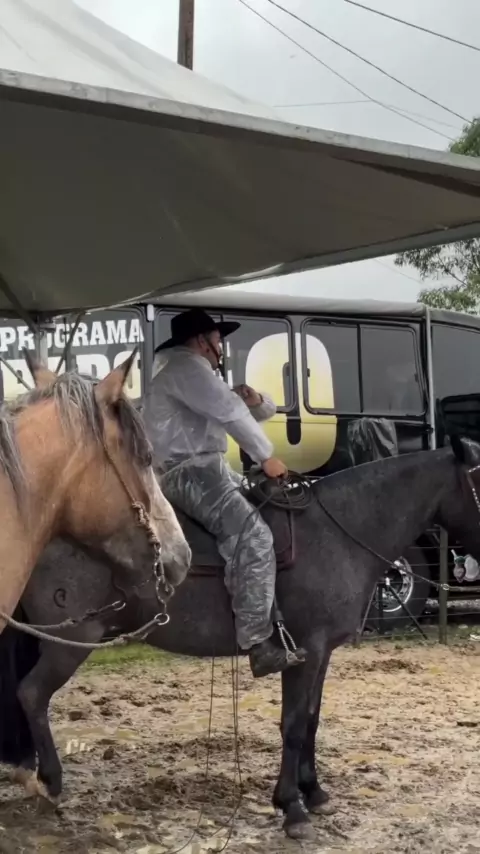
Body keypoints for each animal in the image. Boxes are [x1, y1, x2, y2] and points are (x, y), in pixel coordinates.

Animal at [2, 436, 480, 840]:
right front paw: (292, 808)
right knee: (31, 694)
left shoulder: (321, 653)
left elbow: (311, 720)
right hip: (71, 641)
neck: (339, 533)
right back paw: (51, 781)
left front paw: (314, 792)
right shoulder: (305, 652)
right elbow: (292, 724)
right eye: (479, 480)